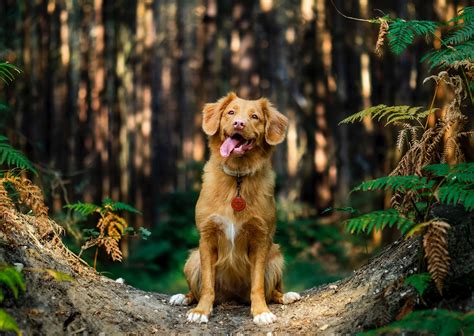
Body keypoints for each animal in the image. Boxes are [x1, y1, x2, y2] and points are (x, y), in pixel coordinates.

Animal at [168, 92, 300, 326]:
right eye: (230, 112)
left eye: (255, 116)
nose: (239, 123)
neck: (238, 176)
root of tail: (233, 297)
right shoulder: (207, 238)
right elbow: (207, 285)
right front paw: (201, 311)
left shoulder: (260, 239)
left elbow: (257, 285)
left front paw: (261, 311)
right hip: (192, 260)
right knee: (196, 289)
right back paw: (183, 297)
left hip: (276, 257)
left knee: (273, 291)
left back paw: (285, 296)